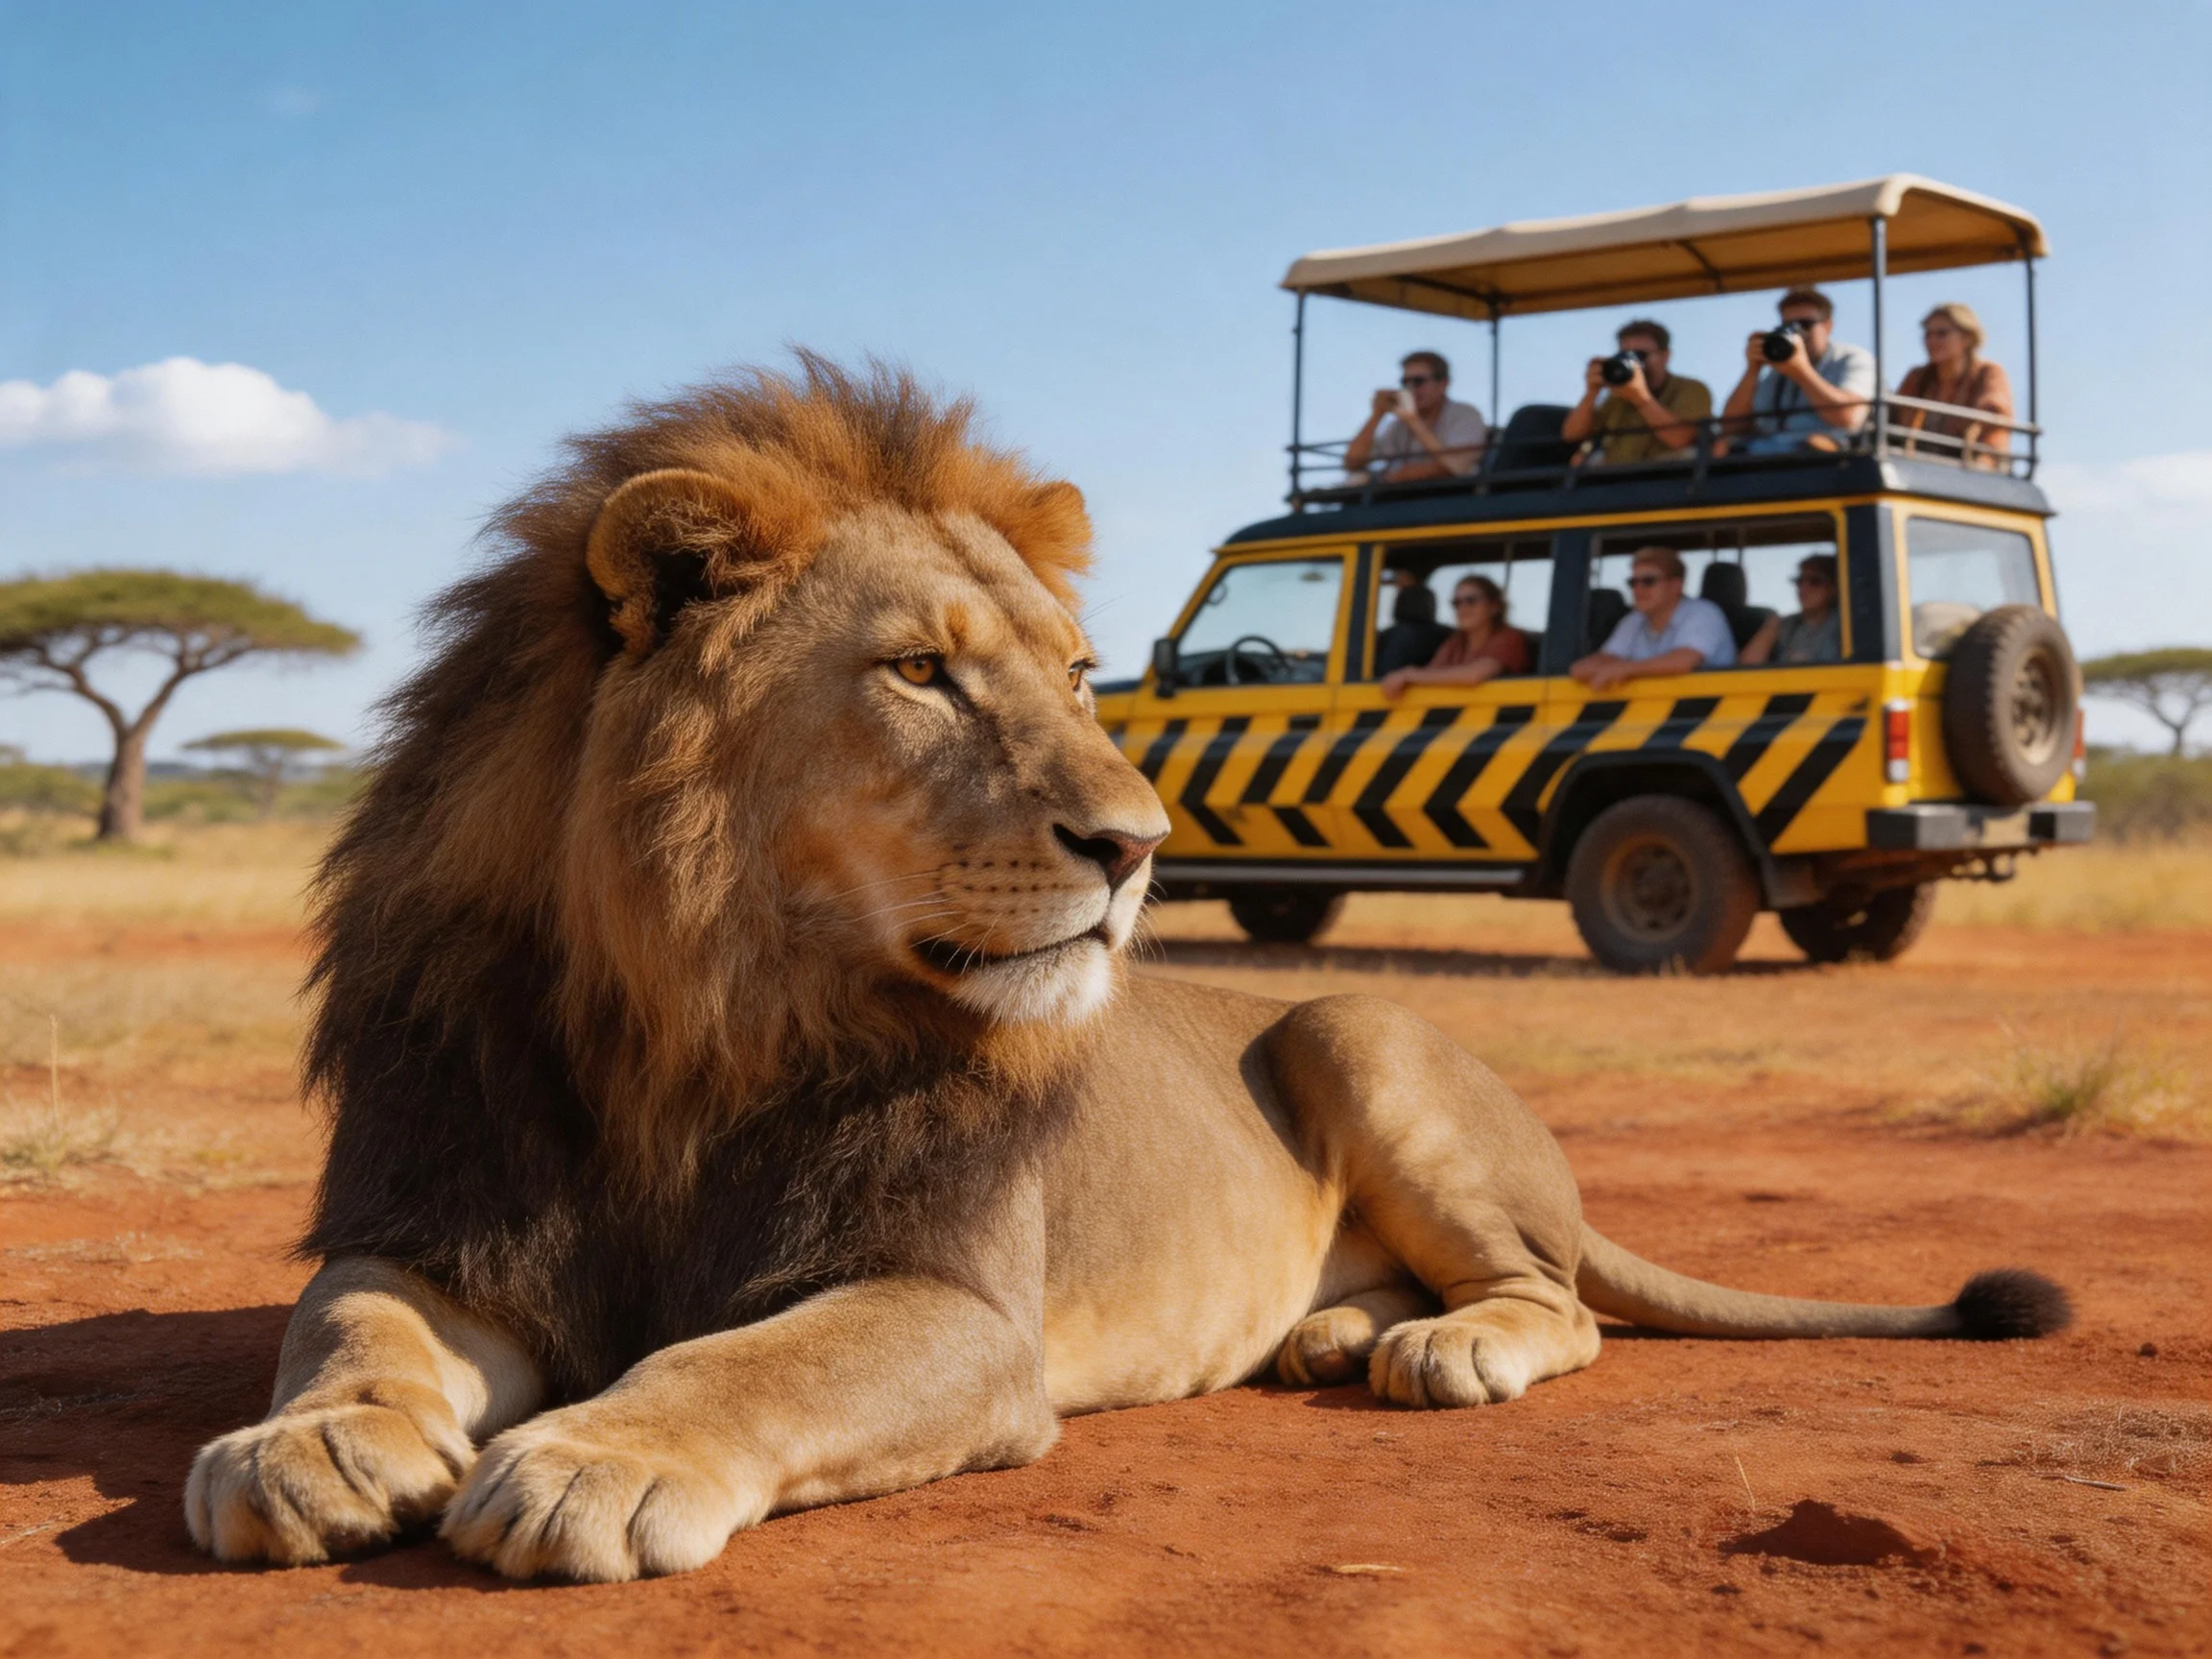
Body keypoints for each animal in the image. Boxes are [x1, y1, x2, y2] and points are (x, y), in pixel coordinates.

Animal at [185, 356, 2070, 1583]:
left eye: (1084, 672)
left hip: (1357, 1033)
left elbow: (745, 1363)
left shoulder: (955, 1307)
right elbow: (346, 1319)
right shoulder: (444, 1214)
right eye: (922, 672)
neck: (703, 1016)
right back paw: (1335, 1330)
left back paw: (1439, 1347)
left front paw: (592, 1455)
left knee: (1559, 1299)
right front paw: (313, 1445)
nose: (1141, 840)